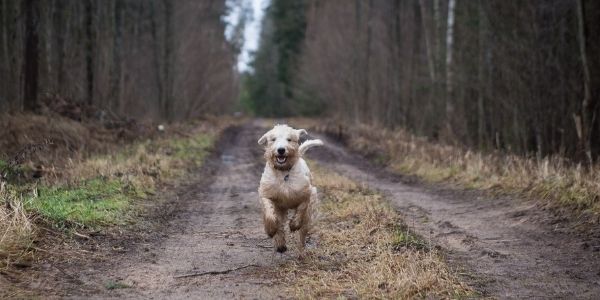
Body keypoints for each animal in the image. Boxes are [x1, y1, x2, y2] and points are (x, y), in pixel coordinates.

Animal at [258, 124, 324, 253]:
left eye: (289, 139)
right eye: (273, 139)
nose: (281, 150)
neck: (283, 173)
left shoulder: (308, 193)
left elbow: (302, 208)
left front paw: (294, 224)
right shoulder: (267, 194)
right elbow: (270, 213)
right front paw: (271, 230)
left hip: (308, 214)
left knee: (303, 231)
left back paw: (301, 250)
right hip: (281, 209)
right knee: (279, 224)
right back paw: (280, 244)